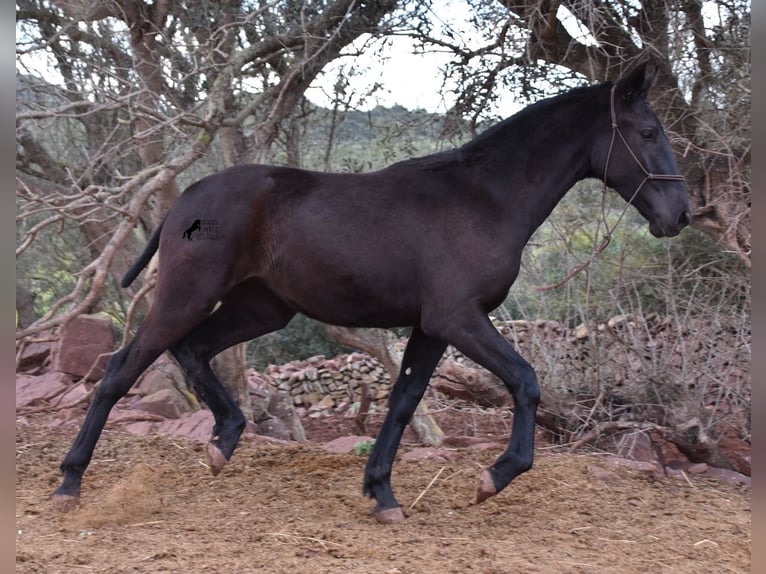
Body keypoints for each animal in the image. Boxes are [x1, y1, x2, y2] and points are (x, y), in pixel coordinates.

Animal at [52, 60, 688, 524]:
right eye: (649, 132)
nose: (679, 215)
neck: (484, 199)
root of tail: (189, 196)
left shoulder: (432, 327)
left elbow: (404, 402)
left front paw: (381, 492)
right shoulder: (458, 319)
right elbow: (526, 382)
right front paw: (493, 476)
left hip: (262, 308)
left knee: (194, 351)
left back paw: (222, 441)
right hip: (186, 296)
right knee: (121, 369)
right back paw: (69, 480)